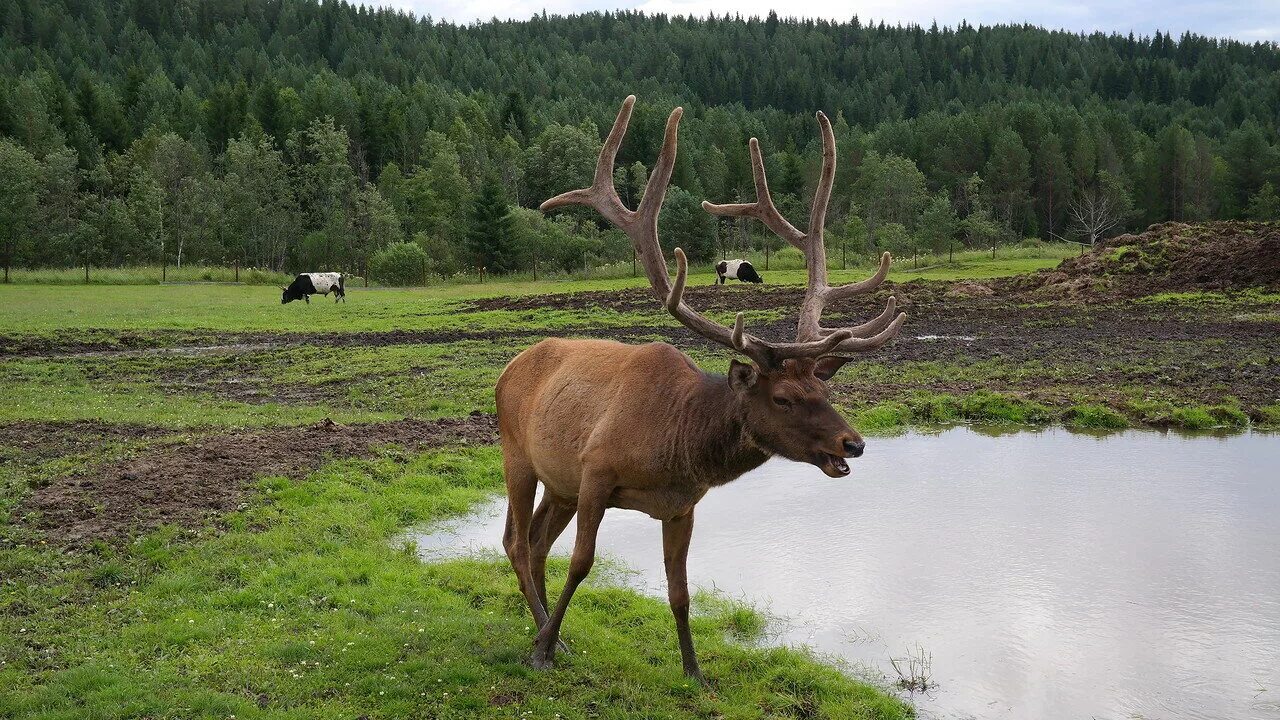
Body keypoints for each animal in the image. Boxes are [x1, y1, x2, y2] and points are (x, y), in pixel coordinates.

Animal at [494, 95, 906, 676]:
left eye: (826, 393)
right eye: (782, 398)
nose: (854, 443)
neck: (674, 443)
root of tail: (508, 368)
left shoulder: (681, 505)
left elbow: (680, 590)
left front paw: (694, 670)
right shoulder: (595, 472)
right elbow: (581, 563)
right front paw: (541, 650)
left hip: (559, 482)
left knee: (533, 543)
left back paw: (550, 631)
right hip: (518, 455)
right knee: (514, 540)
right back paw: (544, 636)